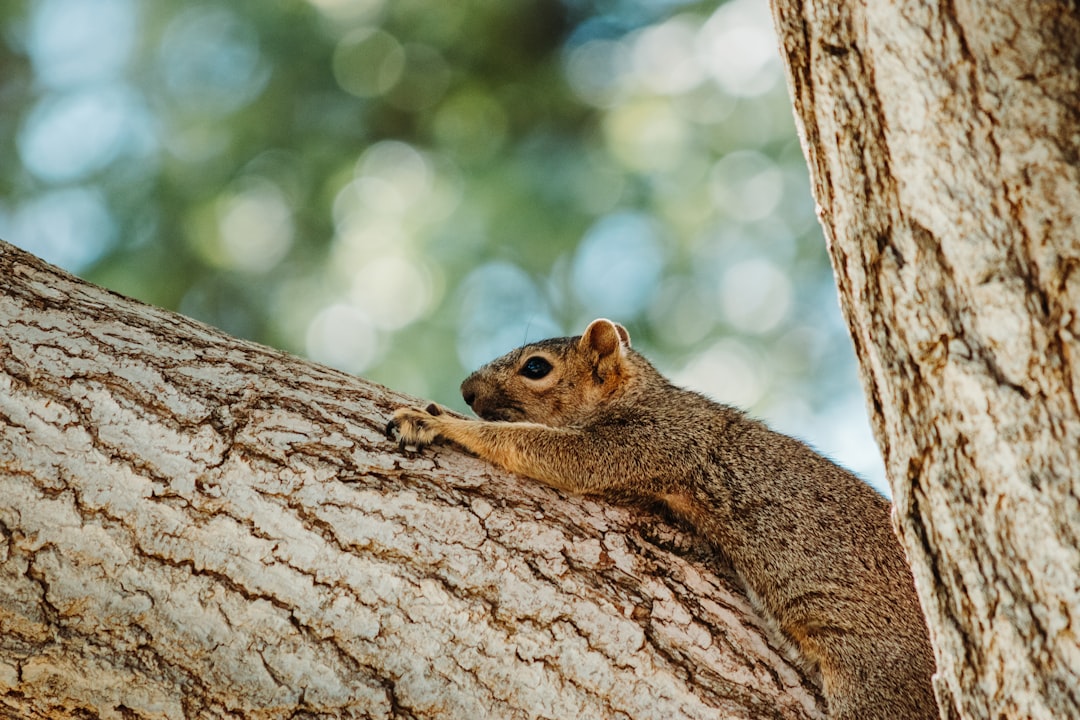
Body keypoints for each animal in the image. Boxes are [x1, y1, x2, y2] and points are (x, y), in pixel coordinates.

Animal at [386, 317, 937, 716]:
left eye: (536, 368)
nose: (464, 390)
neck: (643, 394)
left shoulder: (654, 439)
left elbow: (542, 448)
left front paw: (440, 422)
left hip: (881, 683)